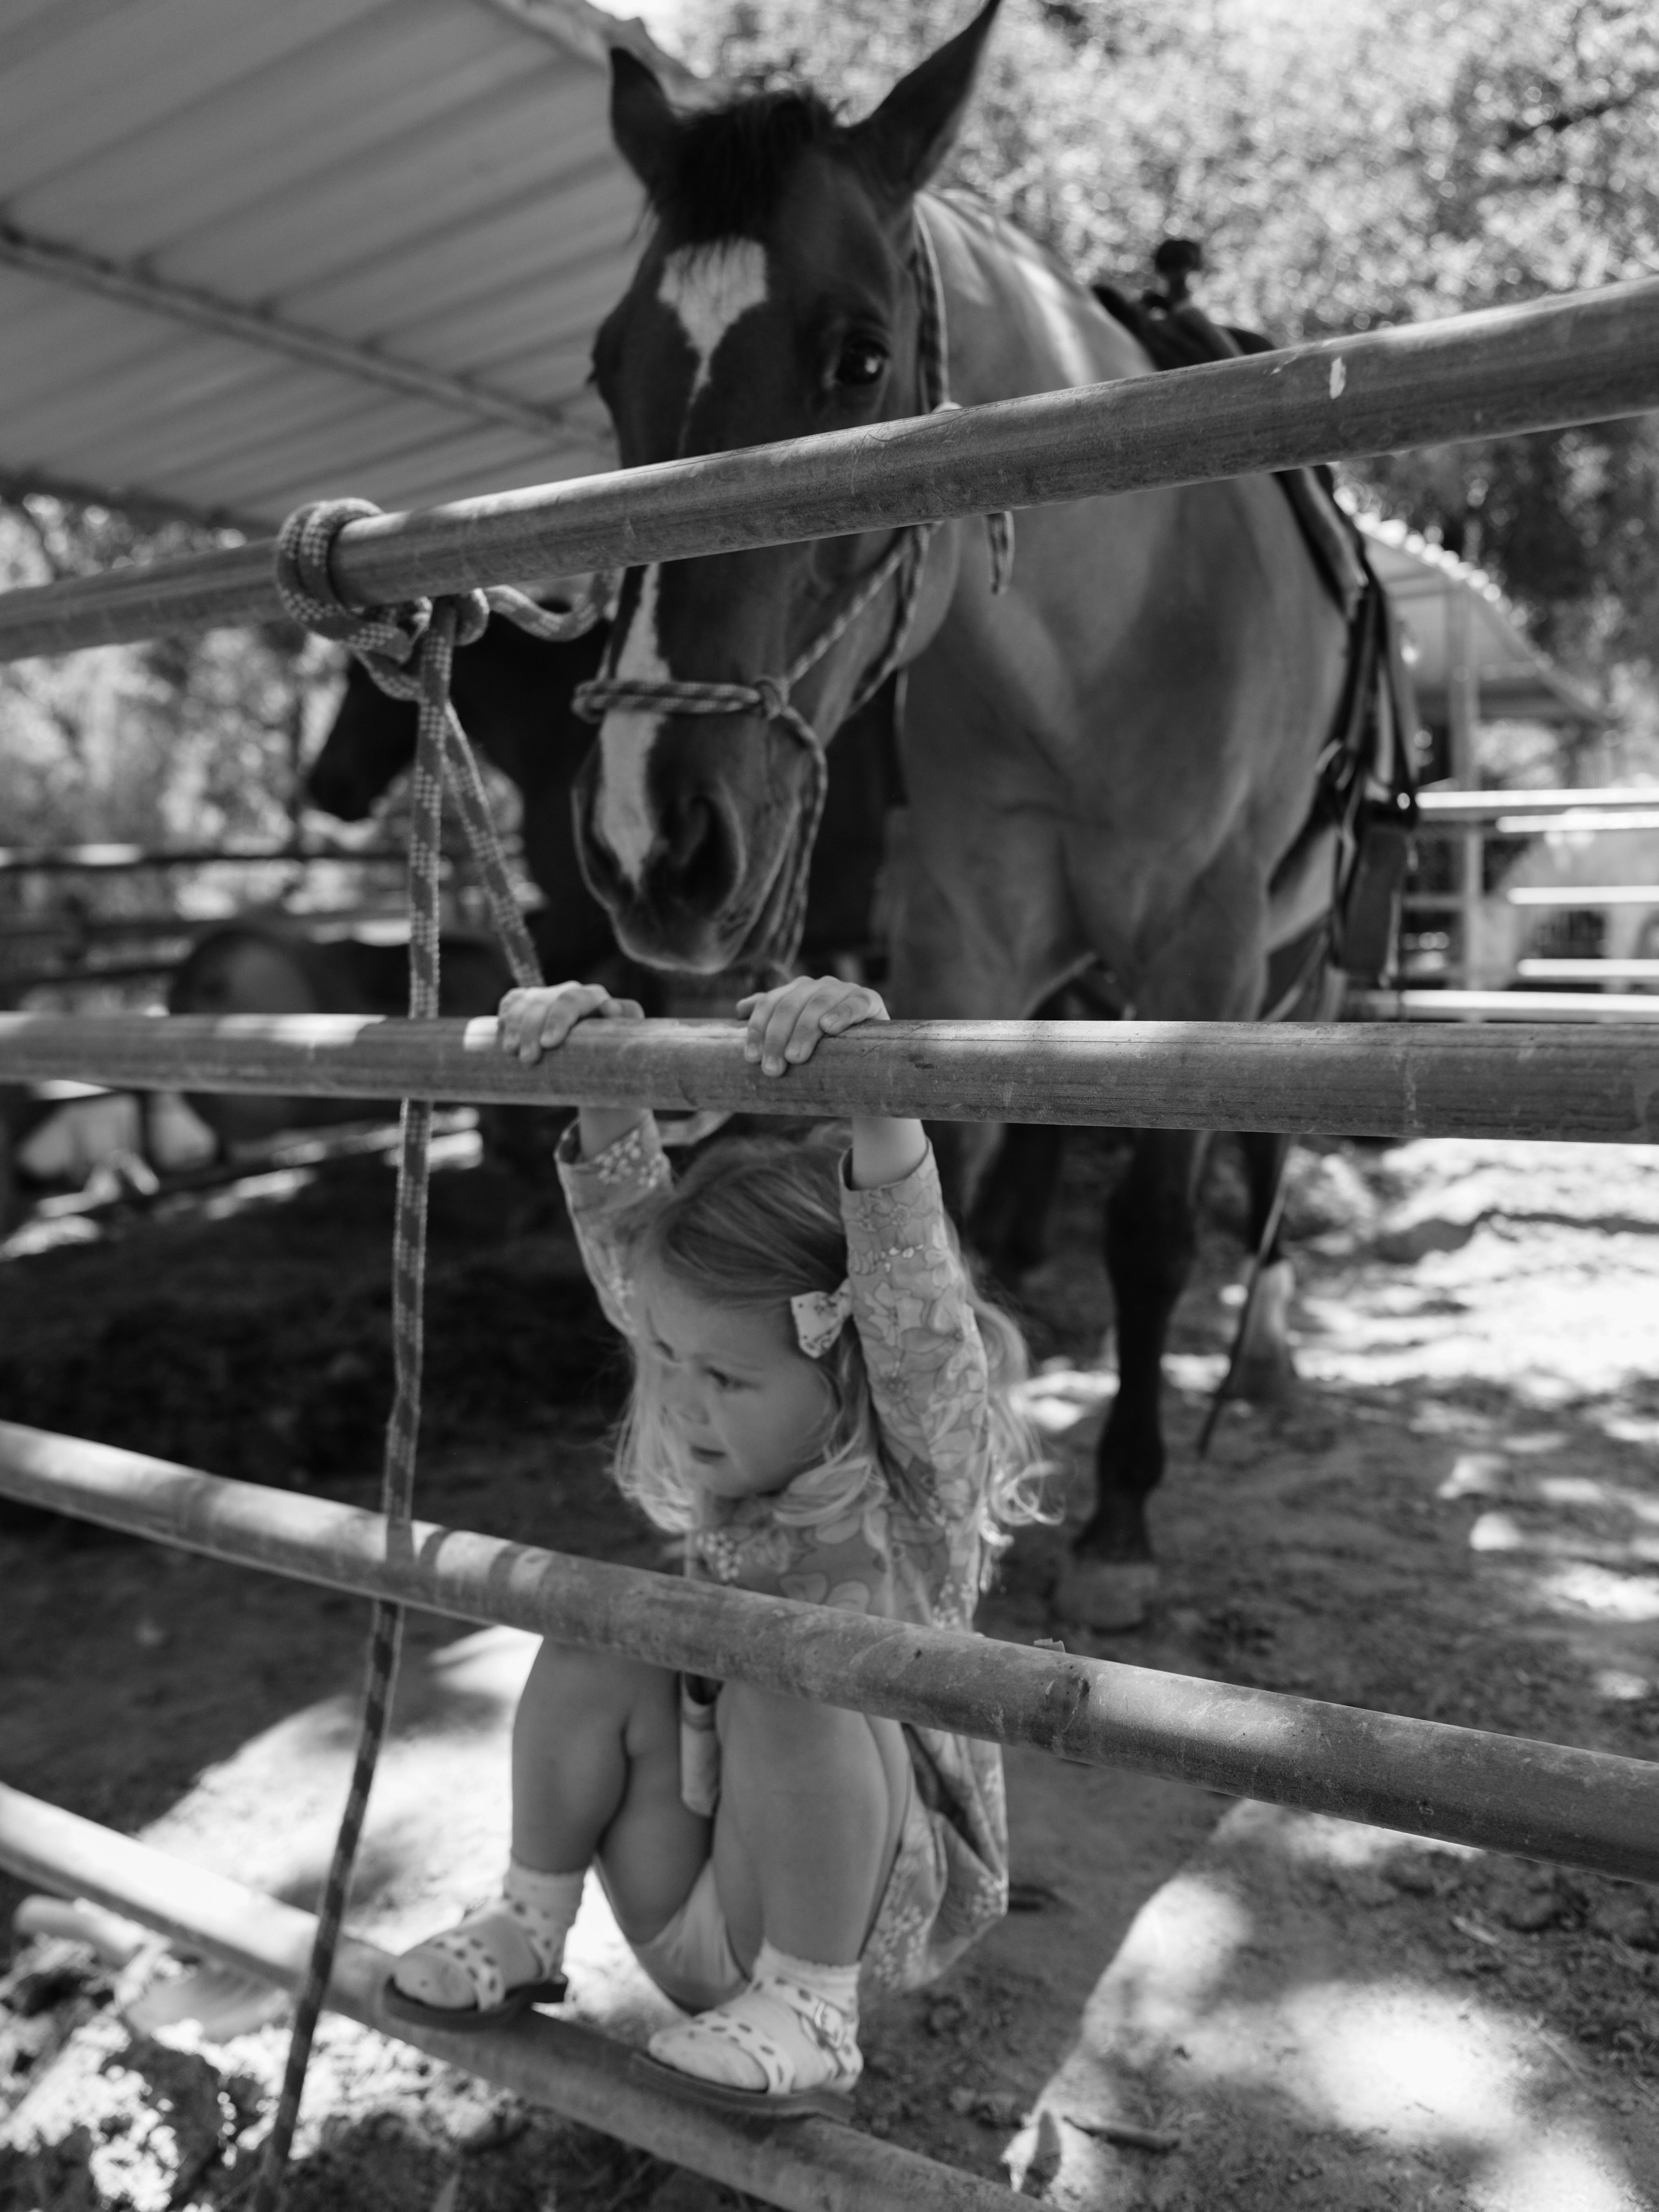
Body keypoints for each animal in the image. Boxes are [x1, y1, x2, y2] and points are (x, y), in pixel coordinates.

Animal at [568, 0, 1357, 1629]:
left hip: (1294, 958)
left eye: (857, 355)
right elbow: (957, 1152)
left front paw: (1119, 1514)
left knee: (1266, 1148)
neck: (1113, 627)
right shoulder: (968, 933)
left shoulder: (1204, 948)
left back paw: (1267, 1349)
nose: (645, 836)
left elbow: (1150, 1224)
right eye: (611, 370)